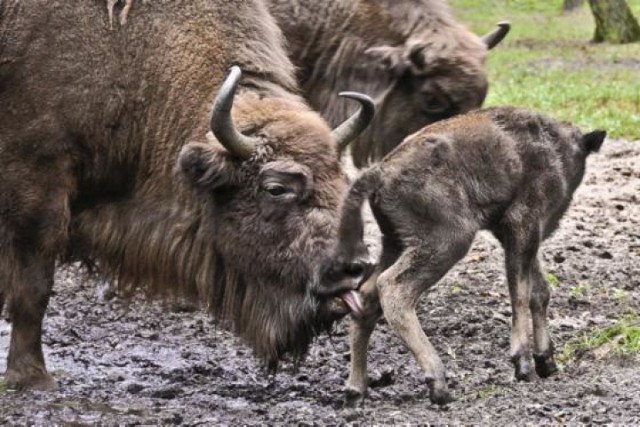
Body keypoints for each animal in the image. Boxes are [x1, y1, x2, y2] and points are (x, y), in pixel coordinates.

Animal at [0, 0, 372, 392]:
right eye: (275, 188)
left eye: (342, 182)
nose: (353, 267)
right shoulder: (37, 183)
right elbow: (34, 286)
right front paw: (33, 378)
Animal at [320, 107, 604, 404]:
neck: (555, 145)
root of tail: (380, 171)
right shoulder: (522, 224)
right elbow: (520, 293)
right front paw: (524, 365)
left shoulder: (519, 235)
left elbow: (539, 291)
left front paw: (546, 361)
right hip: (448, 242)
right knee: (393, 288)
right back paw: (439, 384)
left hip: (395, 243)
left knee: (366, 296)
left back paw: (356, 388)